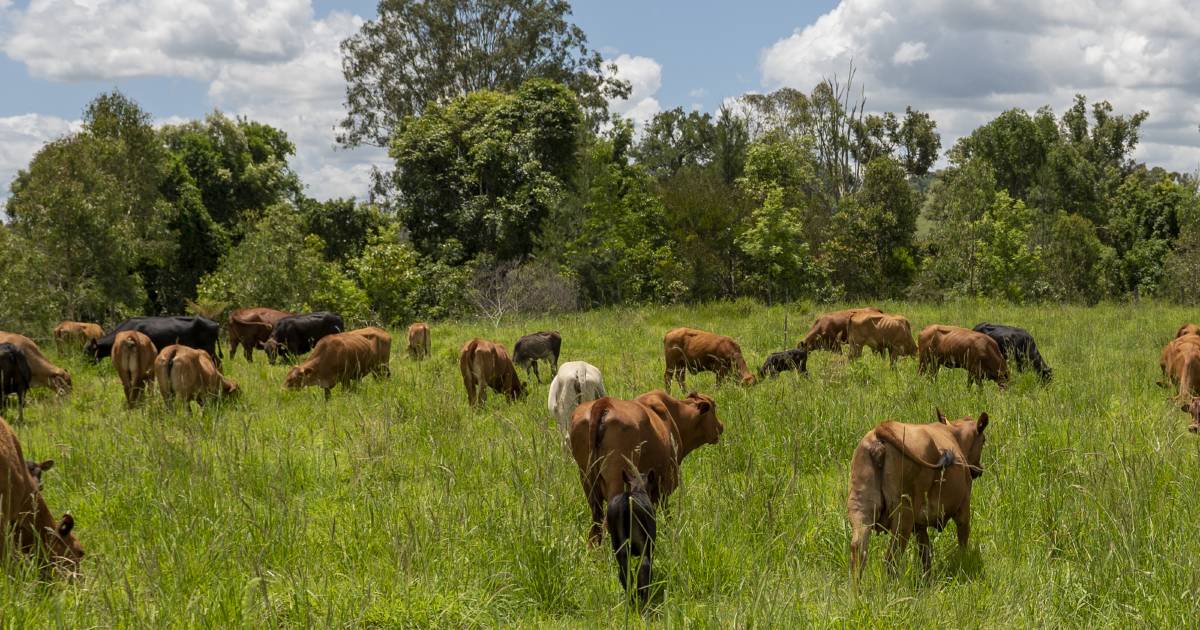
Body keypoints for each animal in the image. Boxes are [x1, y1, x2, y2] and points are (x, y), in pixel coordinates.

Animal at [568, 388, 724, 540]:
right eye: (714, 407)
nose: (721, 426)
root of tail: (604, 403)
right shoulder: (664, 484)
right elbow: (664, 513)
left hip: (588, 483)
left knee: (596, 528)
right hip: (617, 480)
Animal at [844, 408, 993, 580]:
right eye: (983, 440)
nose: (979, 469)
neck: (954, 435)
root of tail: (881, 429)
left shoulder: (920, 525)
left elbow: (925, 554)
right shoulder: (963, 508)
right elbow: (962, 542)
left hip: (861, 509)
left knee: (858, 551)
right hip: (903, 516)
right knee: (891, 558)